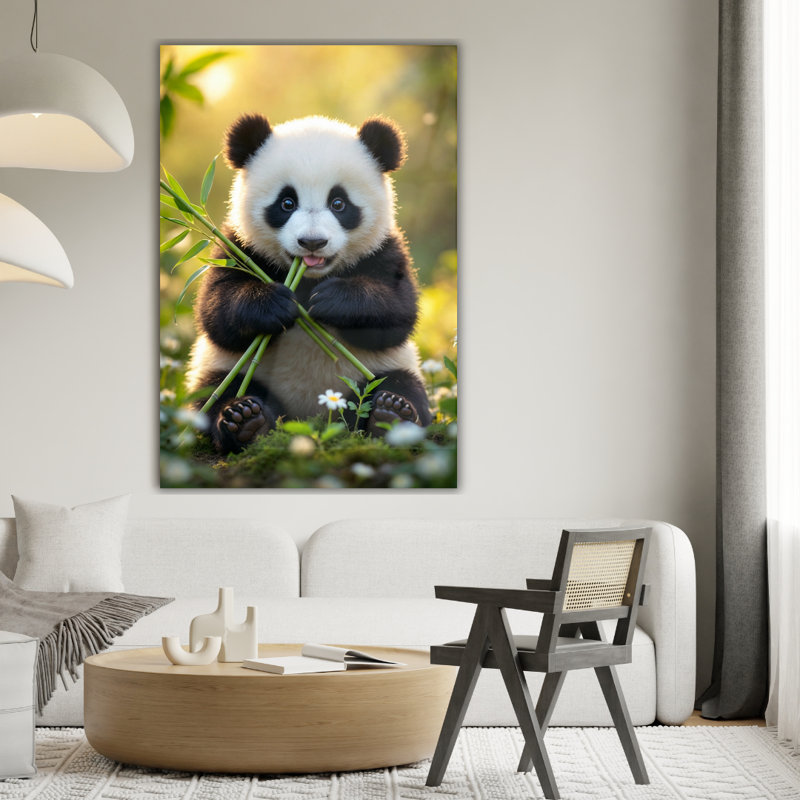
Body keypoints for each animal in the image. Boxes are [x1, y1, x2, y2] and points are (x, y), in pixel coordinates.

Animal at [184, 113, 432, 454]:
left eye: (339, 203)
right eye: (287, 203)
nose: (312, 242)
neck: (310, 278)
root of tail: (311, 417)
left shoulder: (384, 249)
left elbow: (398, 312)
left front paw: (332, 301)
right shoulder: (238, 248)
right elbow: (216, 312)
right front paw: (274, 304)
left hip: (380, 369)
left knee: (400, 384)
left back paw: (391, 415)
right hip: (229, 369)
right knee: (217, 390)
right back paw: (246, 421)